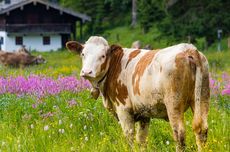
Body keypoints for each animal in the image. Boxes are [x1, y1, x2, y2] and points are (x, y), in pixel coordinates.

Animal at [65, 36, 209, 151]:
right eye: (83, 54)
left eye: (103, 56)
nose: (86, 72)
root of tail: (188, 49)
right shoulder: (144, 113)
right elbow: (142, 140)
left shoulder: (123, 110)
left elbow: (130, 138)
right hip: (202, 98)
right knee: (201, 129)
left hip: (174, 104)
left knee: (179, 133)